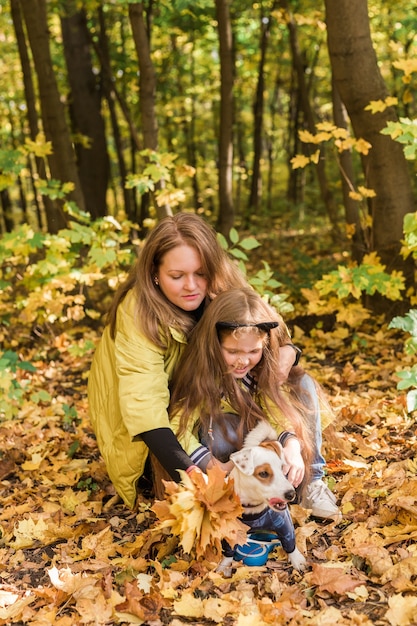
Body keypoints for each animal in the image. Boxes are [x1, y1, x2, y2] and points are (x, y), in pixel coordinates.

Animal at [218, 420, 306, 572]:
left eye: (282, 468)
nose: (291, 494)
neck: (252, 509)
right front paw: (224, 566)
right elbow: (228, 551)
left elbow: (290, 542)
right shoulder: (229, 529)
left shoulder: (284, 524)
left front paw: (297, 559)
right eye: (263, 473)